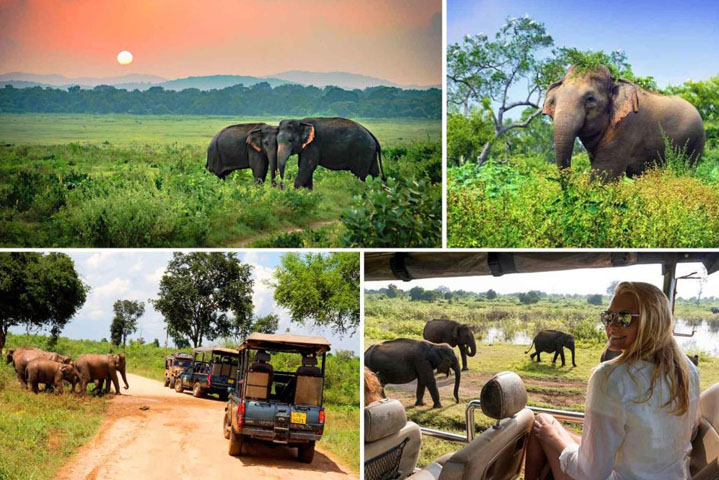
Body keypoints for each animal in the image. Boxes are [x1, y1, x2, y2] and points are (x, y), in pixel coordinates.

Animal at [544, 62, 704, 177]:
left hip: (695, 143)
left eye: (590, 99)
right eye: (554, 101)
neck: (615, 82)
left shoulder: (625, 127)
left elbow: (605, 173)